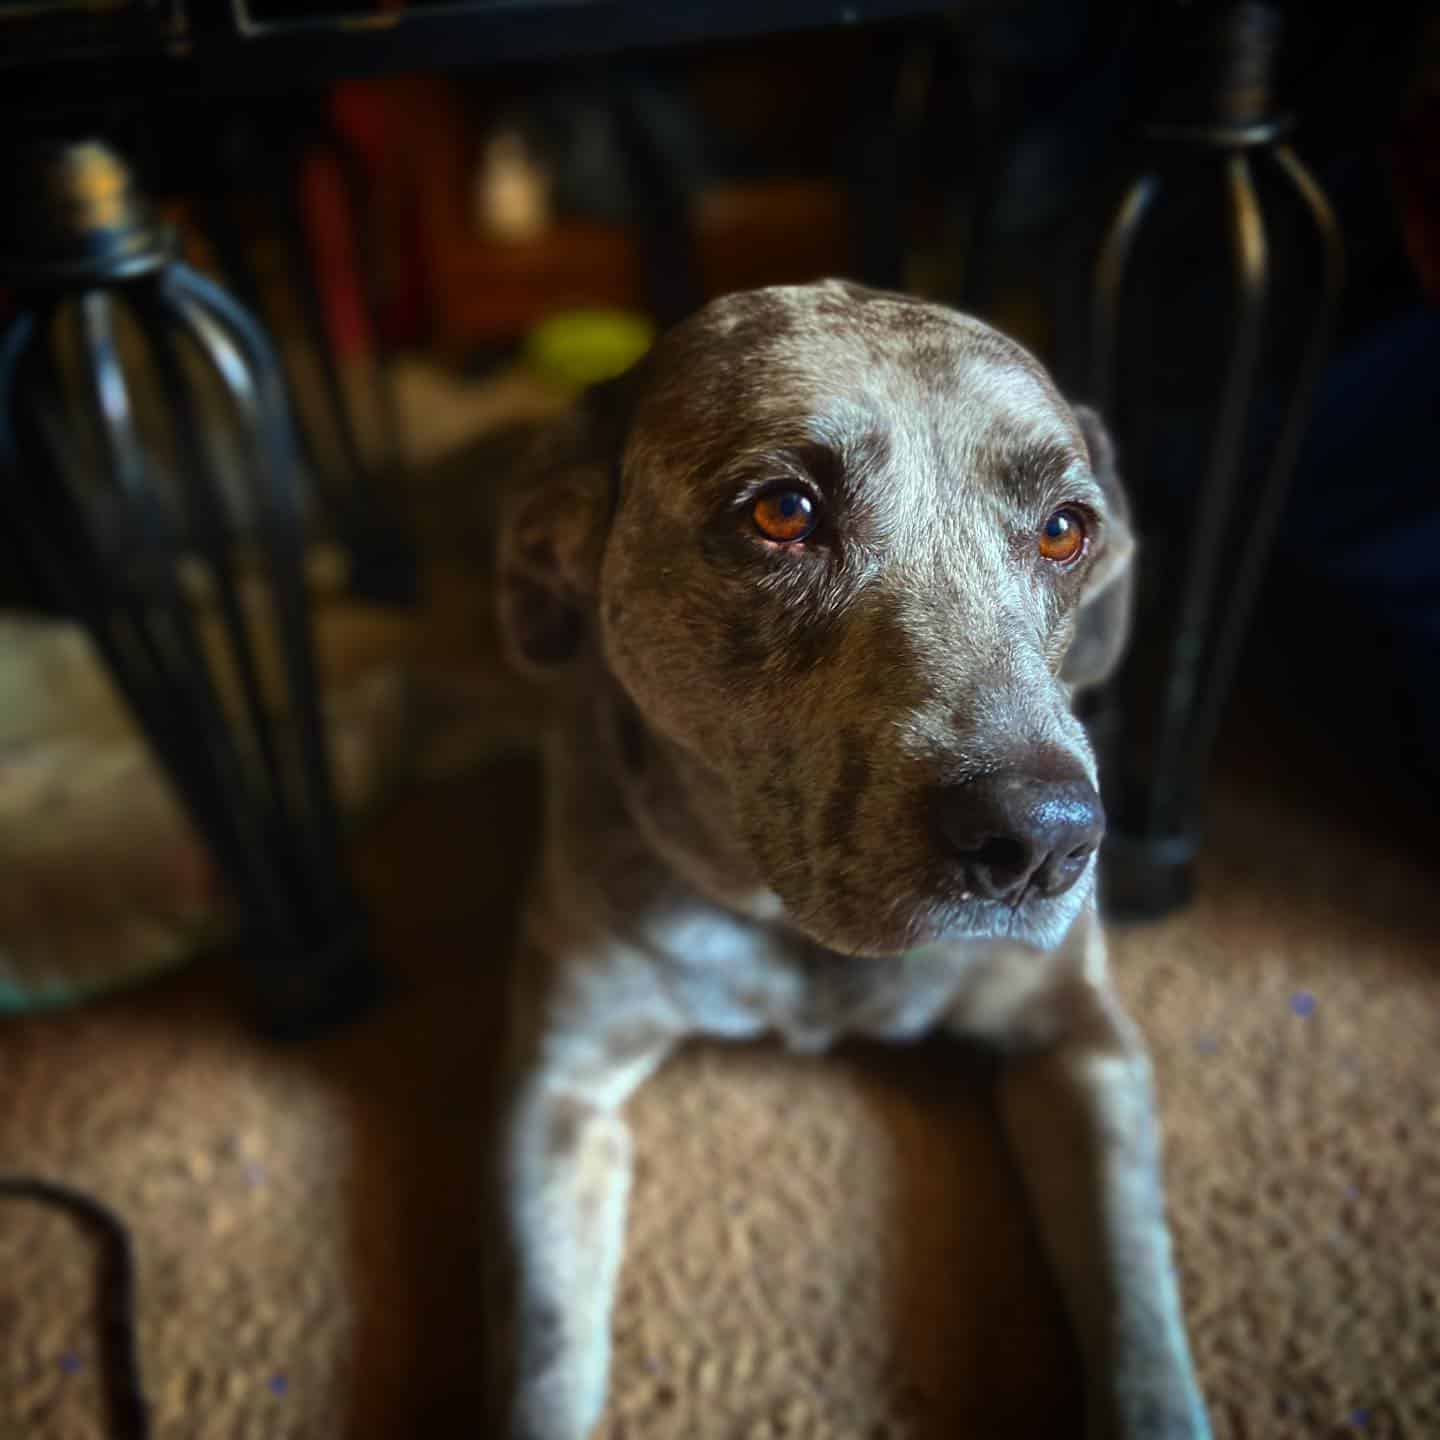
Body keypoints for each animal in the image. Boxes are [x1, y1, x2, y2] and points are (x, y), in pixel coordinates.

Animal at [489, 280, 1209, 1440]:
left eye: (1066, 529)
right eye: (782, 513)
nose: (1042, 839)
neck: (794, 933)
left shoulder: (1079, 1034)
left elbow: (1137, 1287)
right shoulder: (559, 1088)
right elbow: (544, 1347)